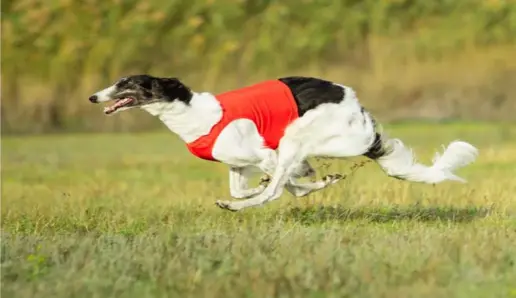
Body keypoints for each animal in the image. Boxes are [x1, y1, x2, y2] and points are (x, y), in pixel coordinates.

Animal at [88, 74, 480, 212]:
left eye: (125, 83)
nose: (92, 97)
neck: (194, 114)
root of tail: (359, 113)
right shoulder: (239, 162)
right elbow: (249, 184)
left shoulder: (265, 152)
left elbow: (280, 183)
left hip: (300, 136)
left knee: (276, 190)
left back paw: (237, 207)